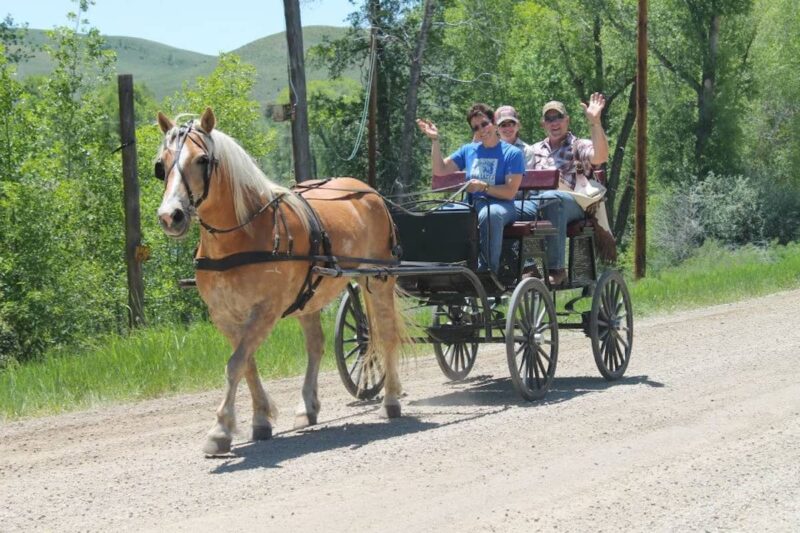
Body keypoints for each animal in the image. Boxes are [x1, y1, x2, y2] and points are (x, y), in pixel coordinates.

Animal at [155, 107, 406, 454]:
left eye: (202, 160)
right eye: (161, 164)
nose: (171, 216)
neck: (242, 234)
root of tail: (370, 193)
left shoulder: (266, 309)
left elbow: (235, 364)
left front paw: (220, 430)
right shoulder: (224, 315)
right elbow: (246, 363)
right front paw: (260, 418)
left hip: (379, 280)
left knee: (386, 334)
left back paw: (392, 401)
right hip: (310, 297)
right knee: (316, 345)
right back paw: (308, 408)